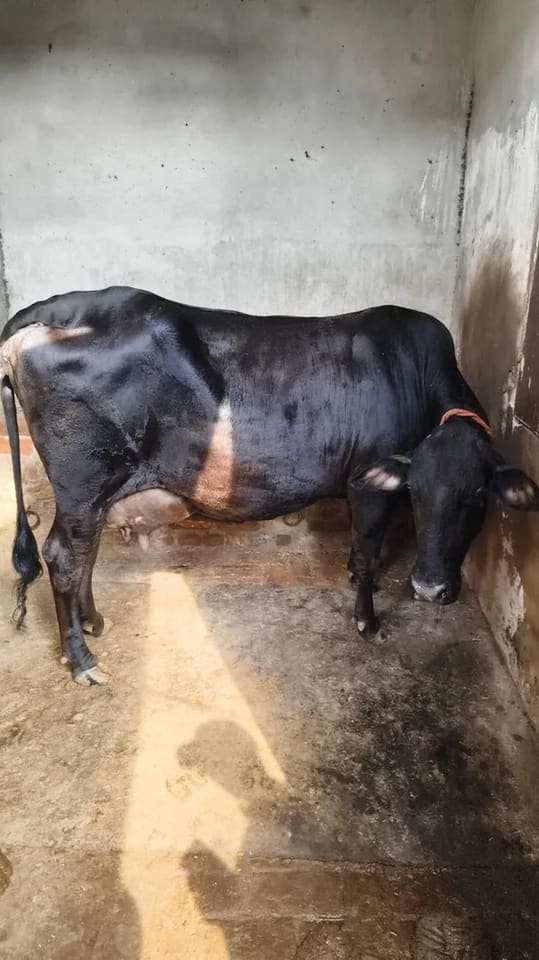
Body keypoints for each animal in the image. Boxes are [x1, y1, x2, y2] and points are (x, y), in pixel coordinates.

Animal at [1, 286, 538, 686]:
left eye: (476, 497)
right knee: (65, 557)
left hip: (91, 493)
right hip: (84, 481)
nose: (428, 588)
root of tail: (57, 309)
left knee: (81, 551)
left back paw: (93, 622)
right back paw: (82, 660)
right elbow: (368, 550)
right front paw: (368, 622)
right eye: (417, 493)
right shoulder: (369, 483)